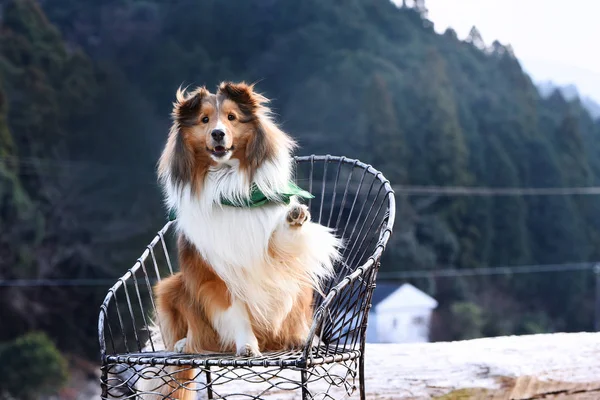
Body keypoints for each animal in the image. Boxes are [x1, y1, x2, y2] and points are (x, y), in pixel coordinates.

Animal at [137, 81, 342, 396]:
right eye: (204, 120)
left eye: (231, 117)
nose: (218, 134)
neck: (228, 184)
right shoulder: (219, 274)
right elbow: (236, 313)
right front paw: (246, 346)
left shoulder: (275, 255)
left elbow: (282, 239)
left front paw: (294, 215)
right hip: (172, 286)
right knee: (196, 336)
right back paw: (186, 344)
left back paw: (301, 338)